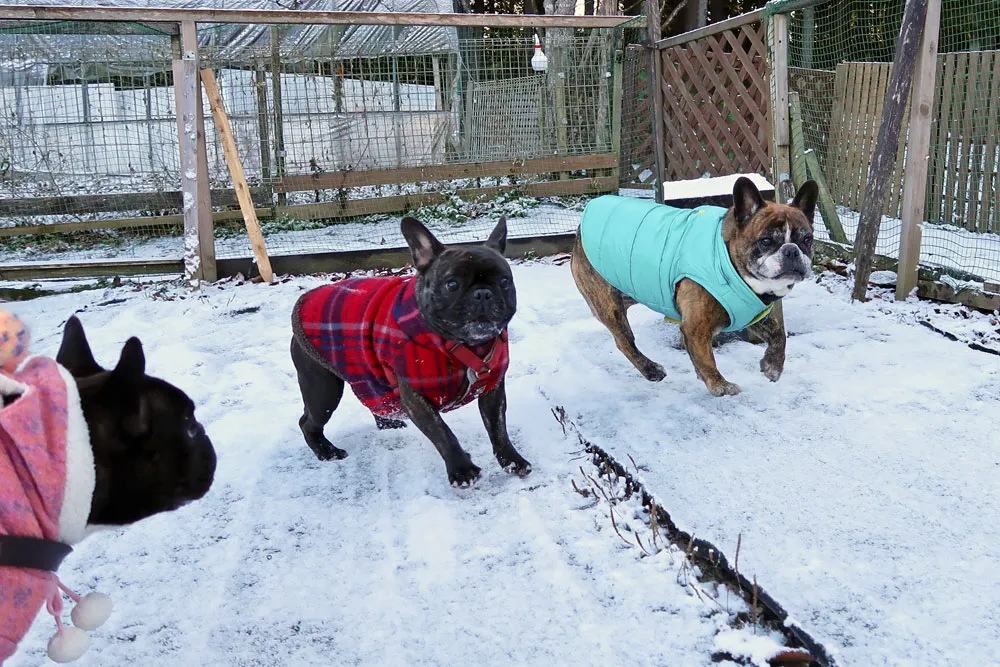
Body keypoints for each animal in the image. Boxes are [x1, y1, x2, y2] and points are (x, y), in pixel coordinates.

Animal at [292, 218, 532, 486]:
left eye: (504, 282)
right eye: (452, 284)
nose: (483, 293)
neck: (461, 346)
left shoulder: (491, 390)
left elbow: (498, 428)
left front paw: (512, 460)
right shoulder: (416, 398)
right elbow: (443, 433)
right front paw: (462, 470)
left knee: (374, 397)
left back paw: (388, 423)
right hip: (323, 389)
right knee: (308, 421)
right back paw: (326, 451)